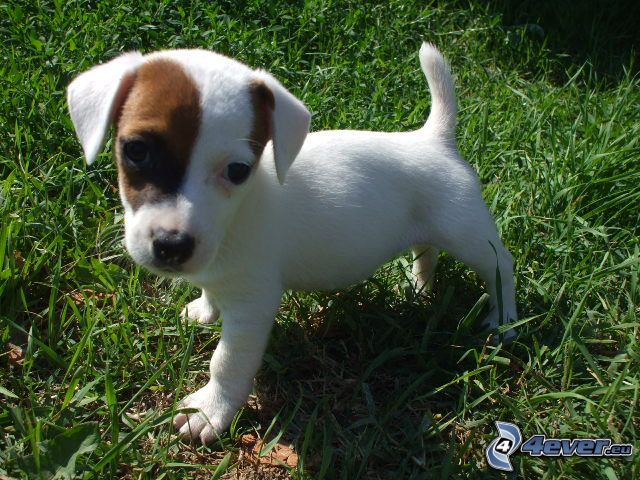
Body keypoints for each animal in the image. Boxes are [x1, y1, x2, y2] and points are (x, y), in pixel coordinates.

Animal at [66, 44, 516, 442]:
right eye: (136, 150)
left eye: (237, 170)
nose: (173, 246)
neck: (239, 213)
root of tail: (433, 140)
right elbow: (210, 292)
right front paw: (204, 311)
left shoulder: (252, 304)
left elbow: (227, 362)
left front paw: (209, 411)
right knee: (427, 252)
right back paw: (420, 289)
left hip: (468, 234)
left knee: (500, 267)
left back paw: (503, 319)